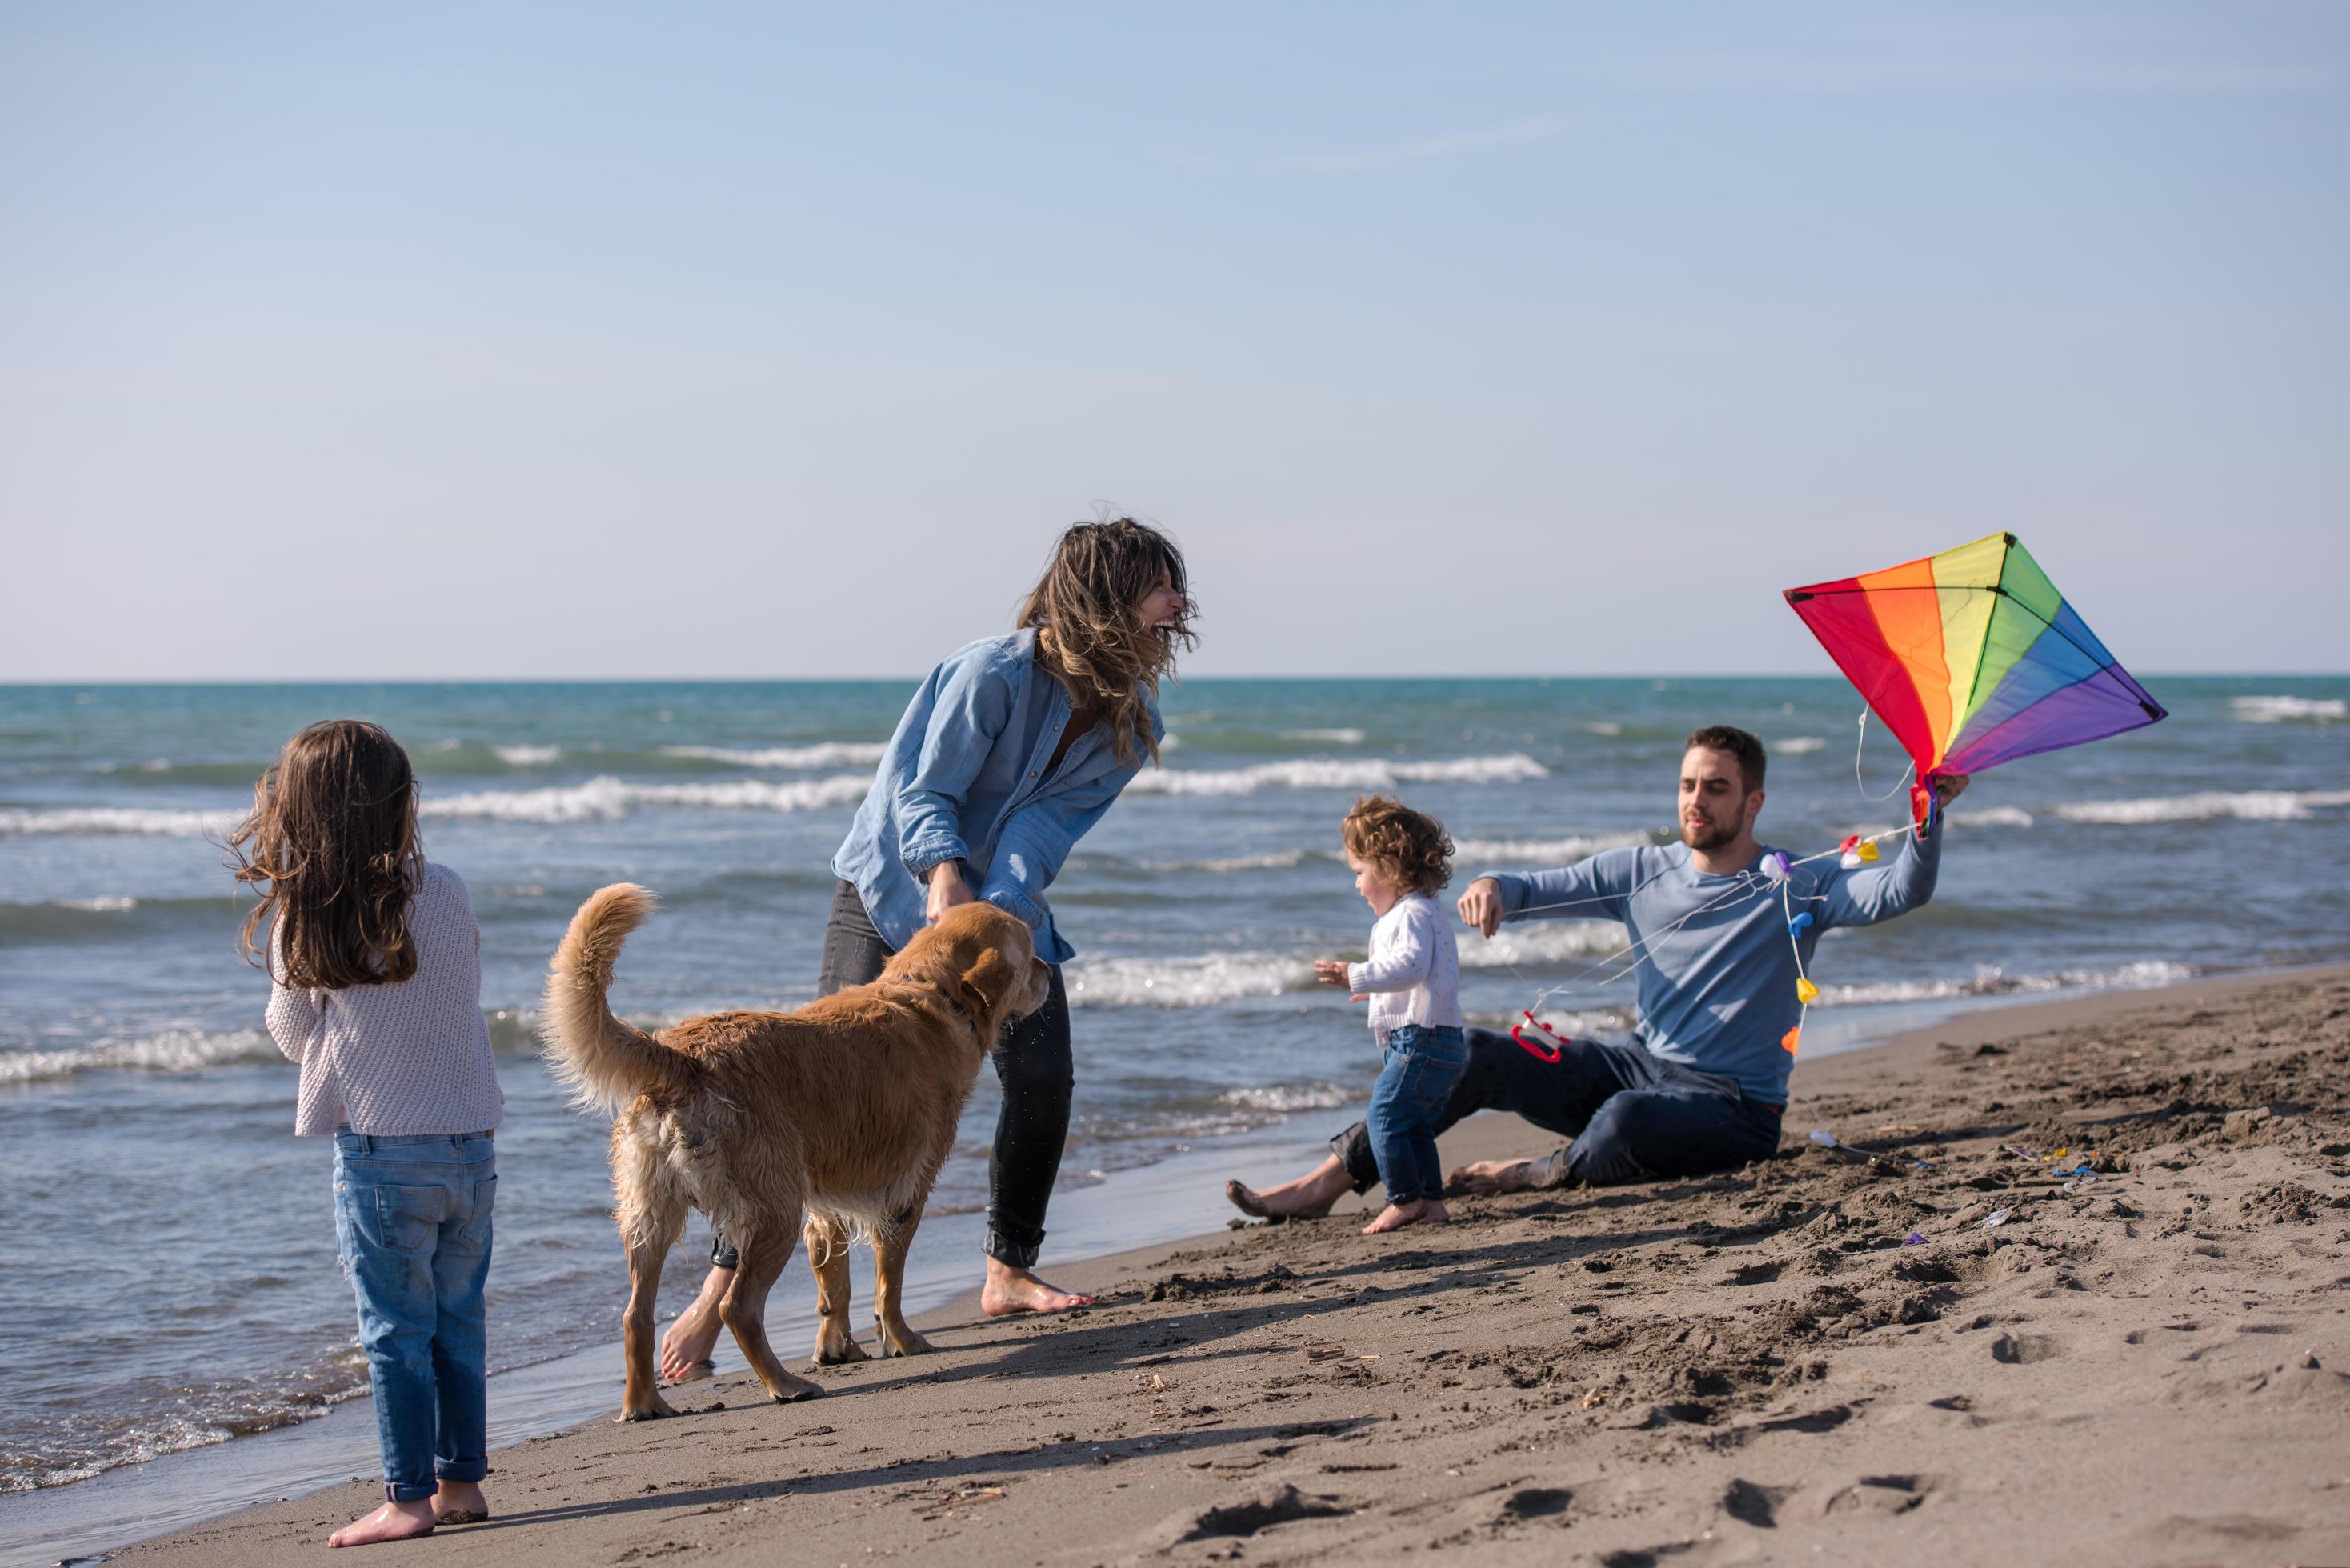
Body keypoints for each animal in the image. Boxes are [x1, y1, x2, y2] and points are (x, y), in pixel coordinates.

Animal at [540, 883, 1047, 1419]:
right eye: (1029, 949)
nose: (1051, 969)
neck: (931, 993)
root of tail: (683, 1057)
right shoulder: (905, 1193)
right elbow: (888, 1282)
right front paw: (902, 1341)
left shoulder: (825, 1201)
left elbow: (835, 1281)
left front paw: (837, 1348)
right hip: (774, 1210)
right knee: (737, 1308)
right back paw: (785, 1384)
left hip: (651, 1215)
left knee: (636, 1315)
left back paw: (645, 1404)